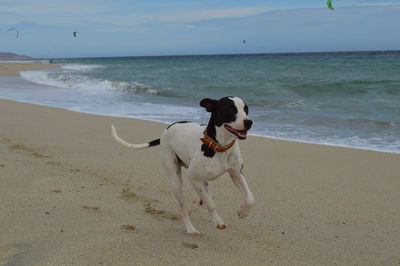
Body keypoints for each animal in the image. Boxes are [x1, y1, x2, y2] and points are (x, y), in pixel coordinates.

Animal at [111, 96, 255, 234]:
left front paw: (242, 211)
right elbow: (211, 204)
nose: (249, 122)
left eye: (246, 109)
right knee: (183, 207)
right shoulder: (192, 176)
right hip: (176, 181)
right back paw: (191, 229)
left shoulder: (236, 174)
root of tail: (165, 131)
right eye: (230, 109)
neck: (220, 147)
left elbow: (250, 198)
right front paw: (218, 219)